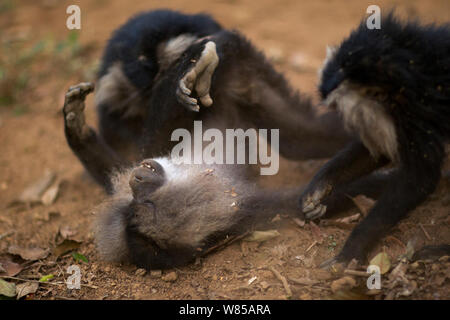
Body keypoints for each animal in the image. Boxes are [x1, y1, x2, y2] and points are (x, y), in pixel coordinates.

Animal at [298, 13, 450, 264]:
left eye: (345, 111)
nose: (349, 125)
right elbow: (379, 152)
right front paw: (318, 190)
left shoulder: (416, 112)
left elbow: (418, 179)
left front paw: (353, 249)